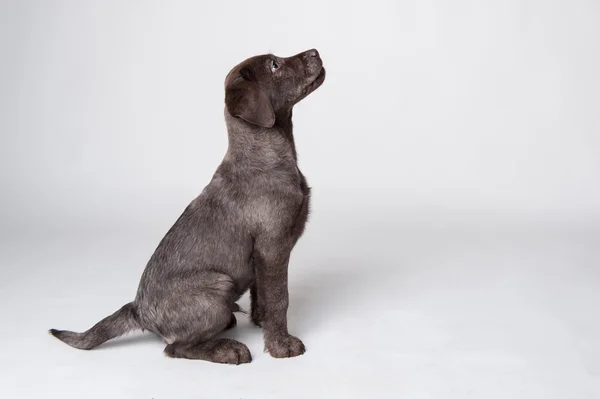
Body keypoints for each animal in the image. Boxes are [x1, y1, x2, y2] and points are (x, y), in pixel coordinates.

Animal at [49, 49, 326, 366]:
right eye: (274, 65)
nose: (315, 51)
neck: (265, 155)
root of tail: (137, 310)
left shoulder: (262, 254)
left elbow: (263, 295)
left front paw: (261, 323)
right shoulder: (272, 246)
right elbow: (280, 298)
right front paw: (281, 345)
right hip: (218, 285)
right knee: (175, 348)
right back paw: (228, 349)